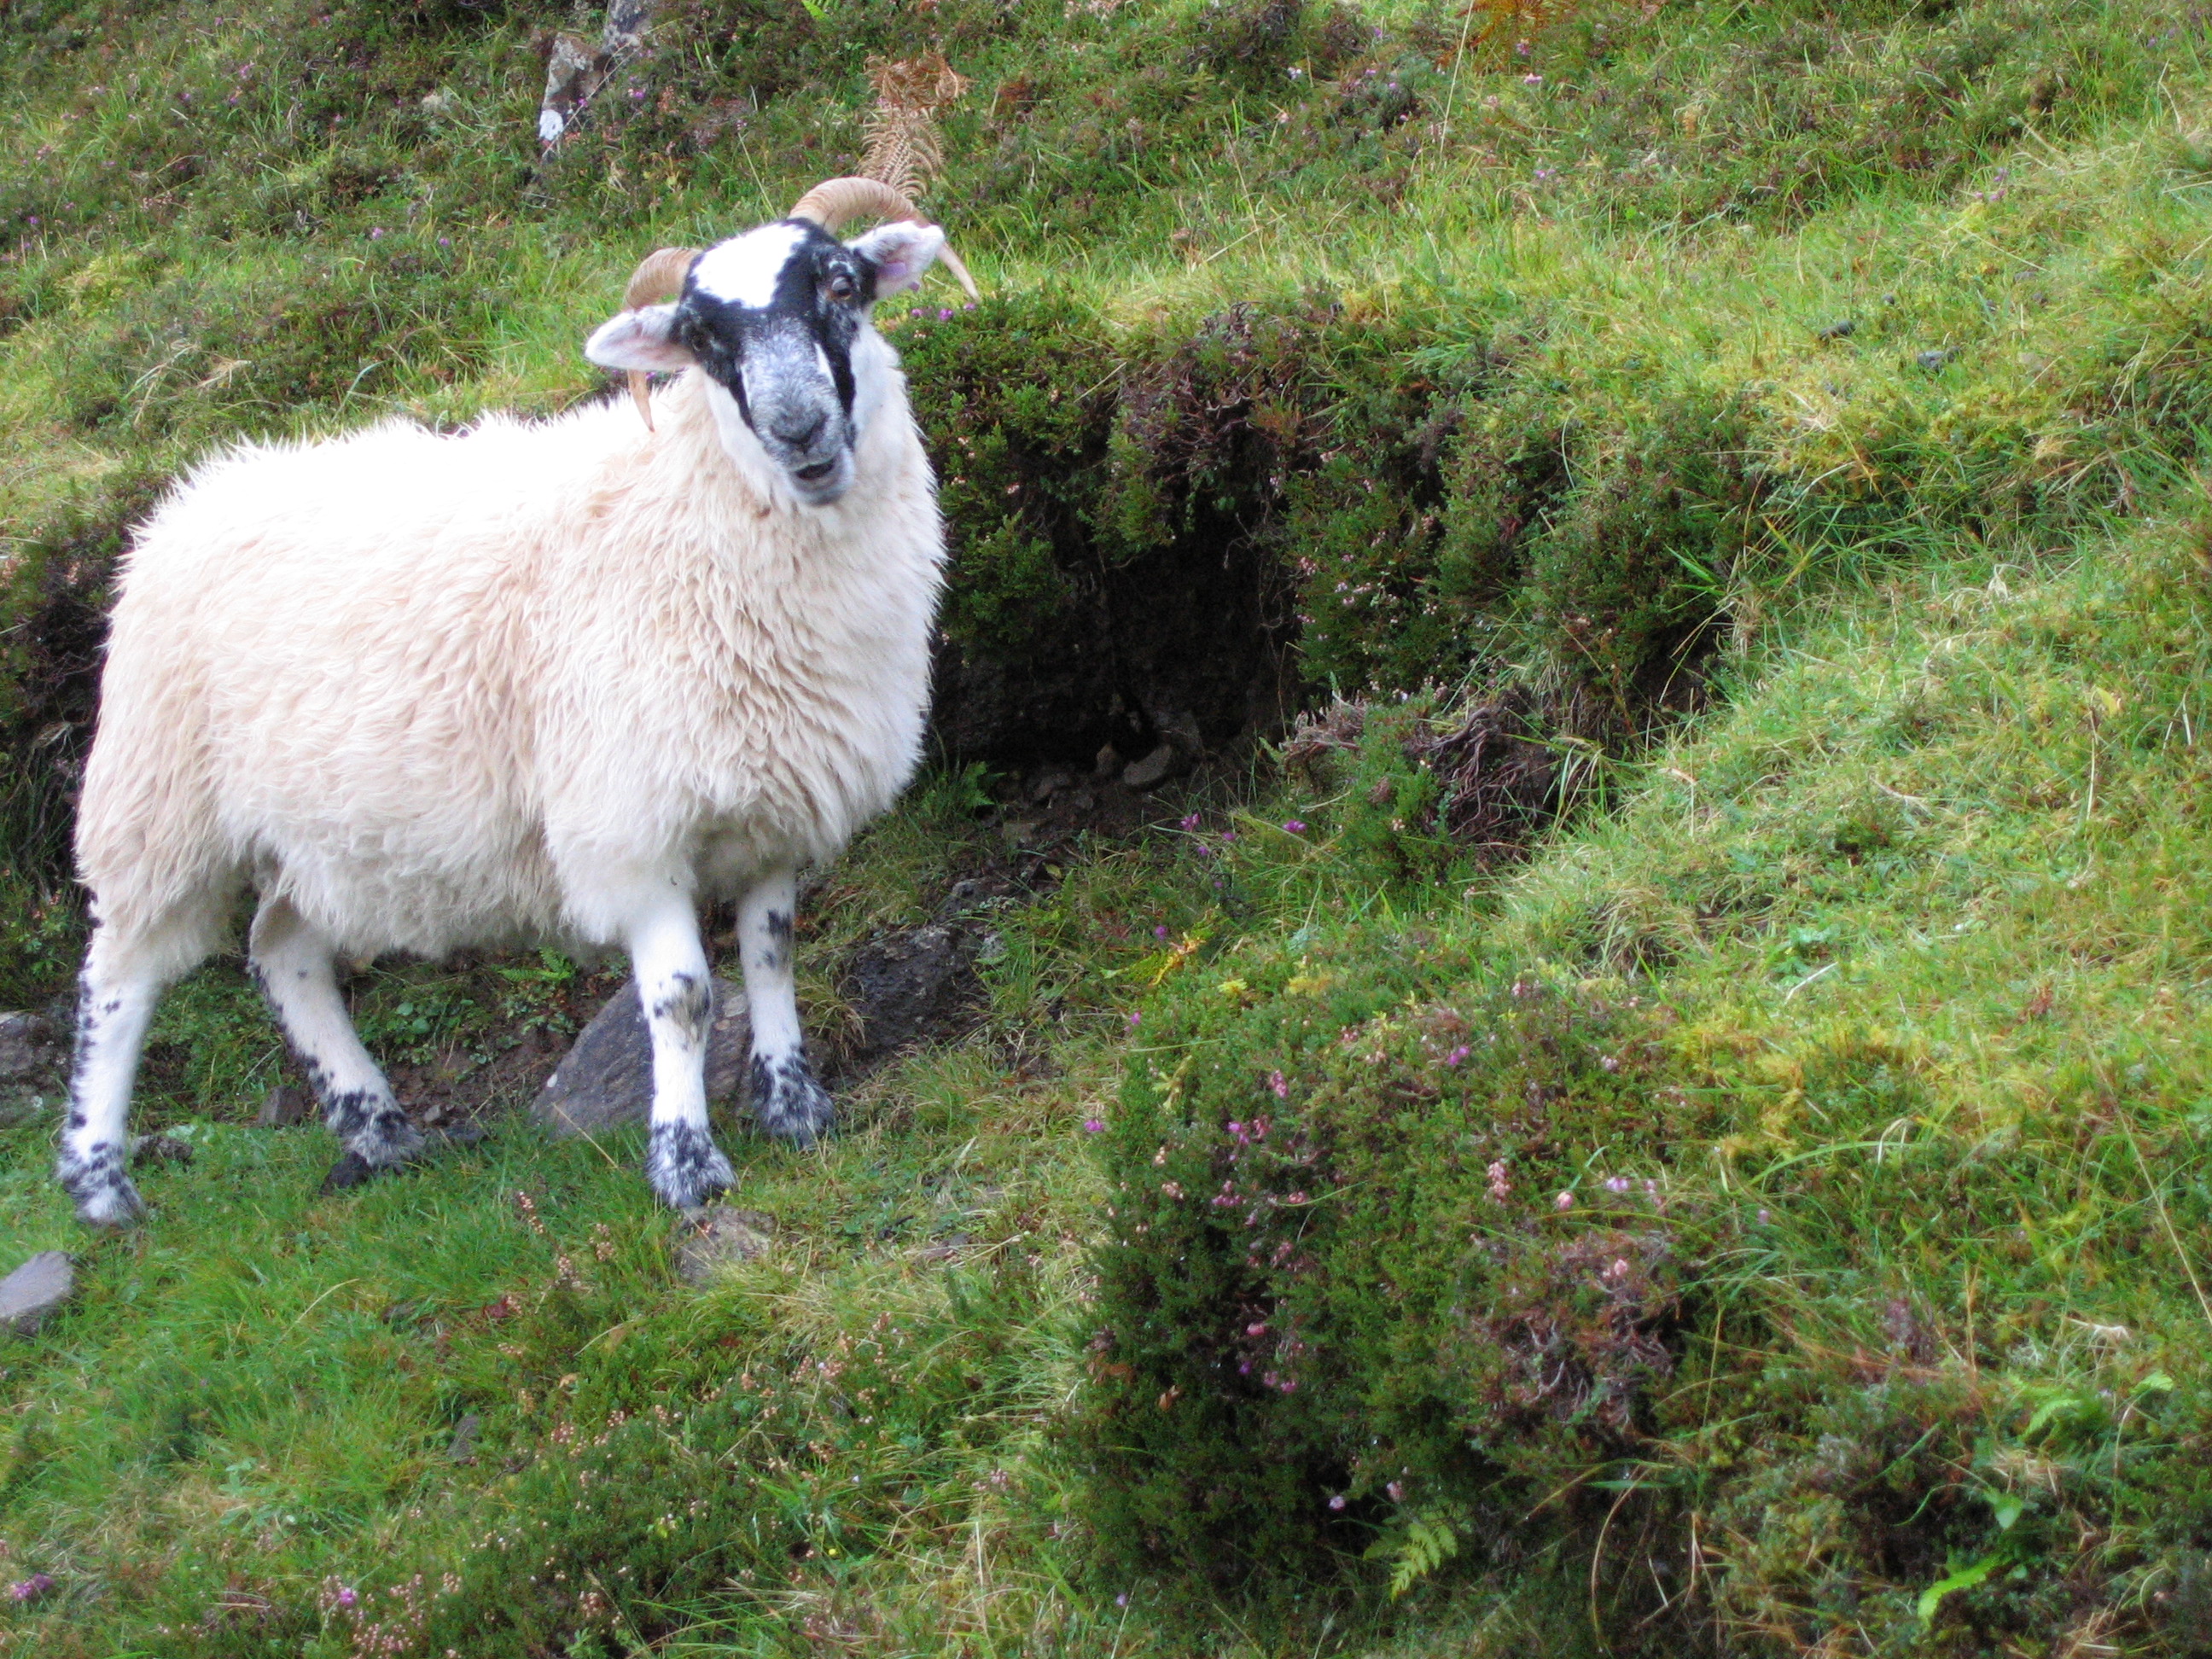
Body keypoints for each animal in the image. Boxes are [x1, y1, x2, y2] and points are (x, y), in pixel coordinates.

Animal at [58, 181, 977, 1230]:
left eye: (841, 284)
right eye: (702, 339)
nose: (799, 429)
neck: (688, 510)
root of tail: (181, 503)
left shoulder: (770, 808)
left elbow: (771, 959)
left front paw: (796, 1107)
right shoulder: (629, 825)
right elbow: (684, 996)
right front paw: (685, 1162)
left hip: (321, 837)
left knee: (280, 950)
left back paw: (380, 1130)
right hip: (159, 806)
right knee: (119, 980)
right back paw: (100, 1182)